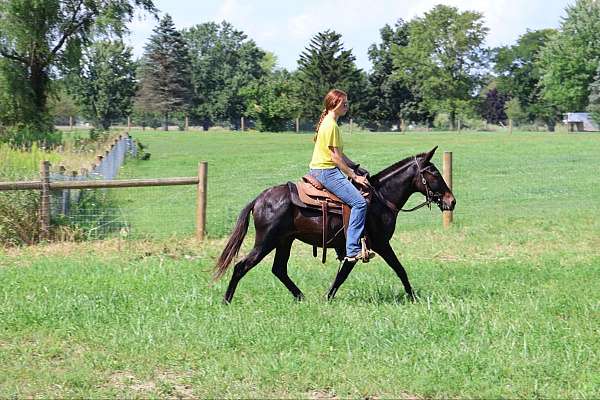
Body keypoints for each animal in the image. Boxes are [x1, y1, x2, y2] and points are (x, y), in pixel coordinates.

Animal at [214, 147, 454, 304]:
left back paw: (301, 297)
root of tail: (259, 199)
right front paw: (413, 298)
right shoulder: (378, 244)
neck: (381, 198)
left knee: (279, 269)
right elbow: (399, 269)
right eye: (433, 172)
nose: (451, 201)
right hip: (266, 241)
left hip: (284, 241)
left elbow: (343, 274)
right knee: (241, 266)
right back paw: (226, 301)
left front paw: (326, 298)